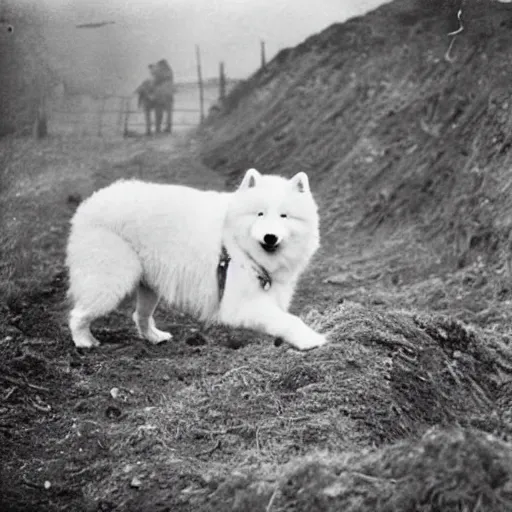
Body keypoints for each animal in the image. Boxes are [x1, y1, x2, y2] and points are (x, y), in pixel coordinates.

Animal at [65, 170, 328, 350]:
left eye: (284, 216)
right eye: (260, 214)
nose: (270, 237)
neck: (237, 245)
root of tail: (90, 203)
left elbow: (282, 318)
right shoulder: (240, 305)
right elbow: (289, 320)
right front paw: (311, 339)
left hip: (149, 284)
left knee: (140, 316)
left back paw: (155, 337)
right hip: (110, 281)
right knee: (78, 315)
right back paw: (84, 341)